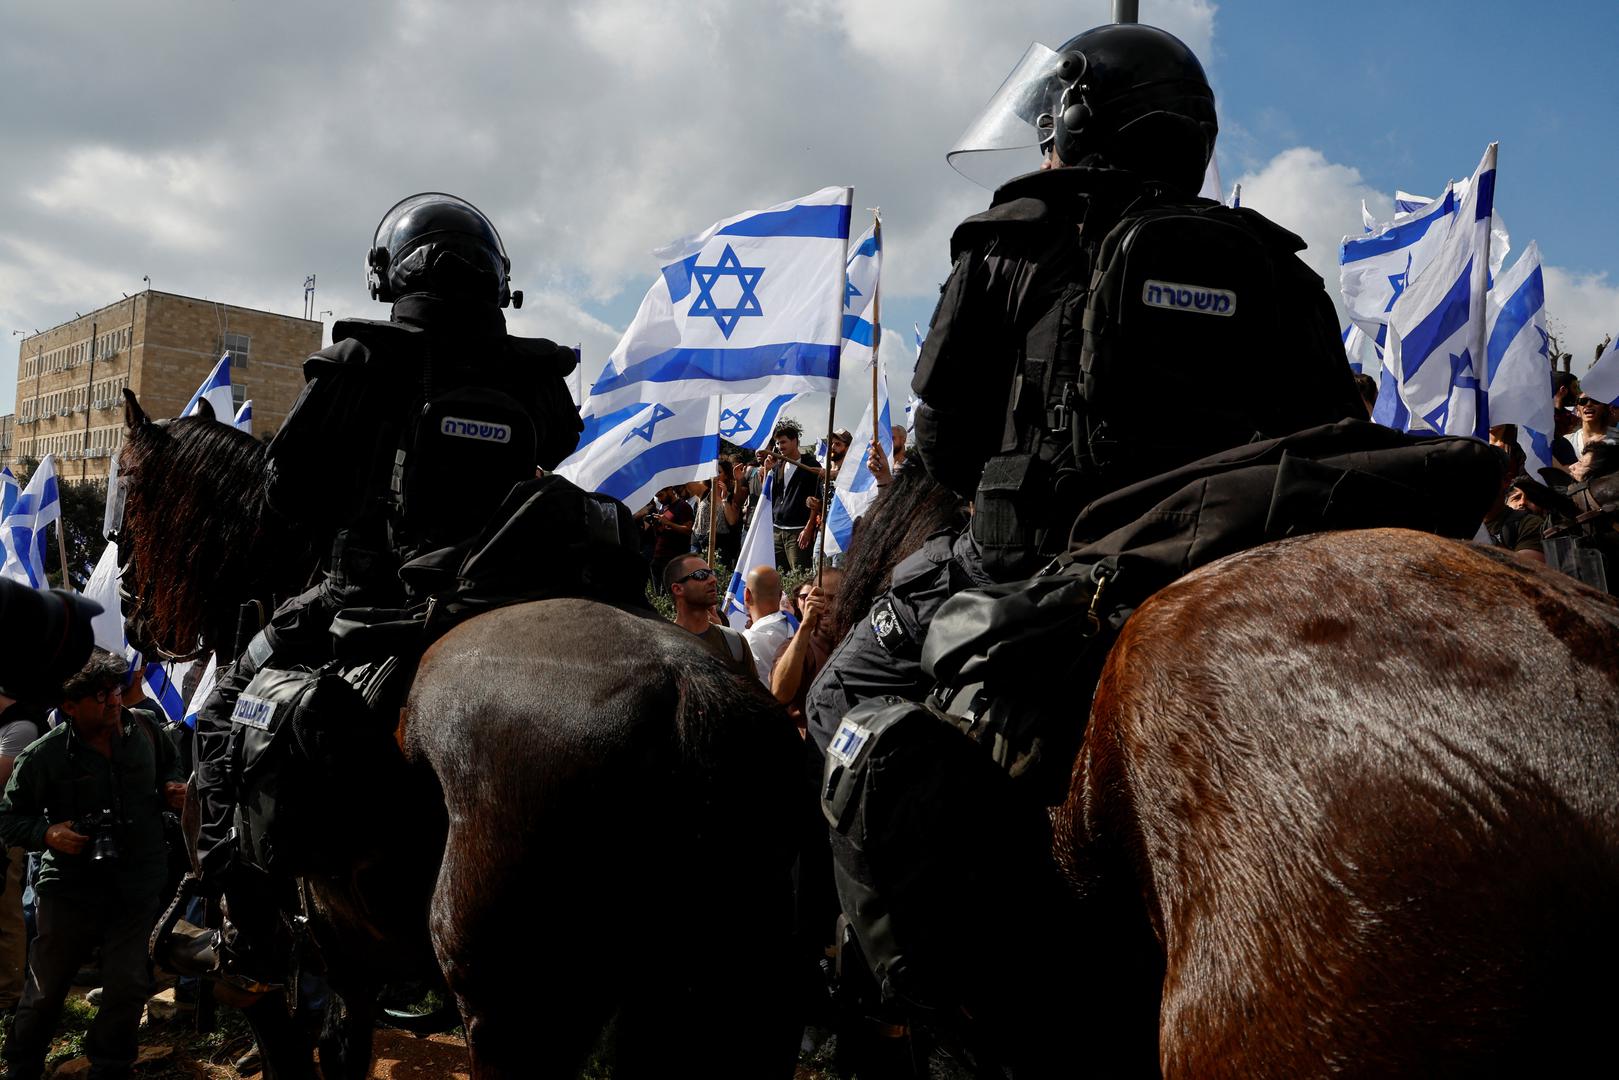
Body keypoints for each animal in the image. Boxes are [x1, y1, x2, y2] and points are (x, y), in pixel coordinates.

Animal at [117, 396, 806, 1080]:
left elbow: (293, 1041)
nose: (128, 611)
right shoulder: (350, 954)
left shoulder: (289, 949)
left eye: (127, 490)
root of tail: (687, 690)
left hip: (513, 1015)